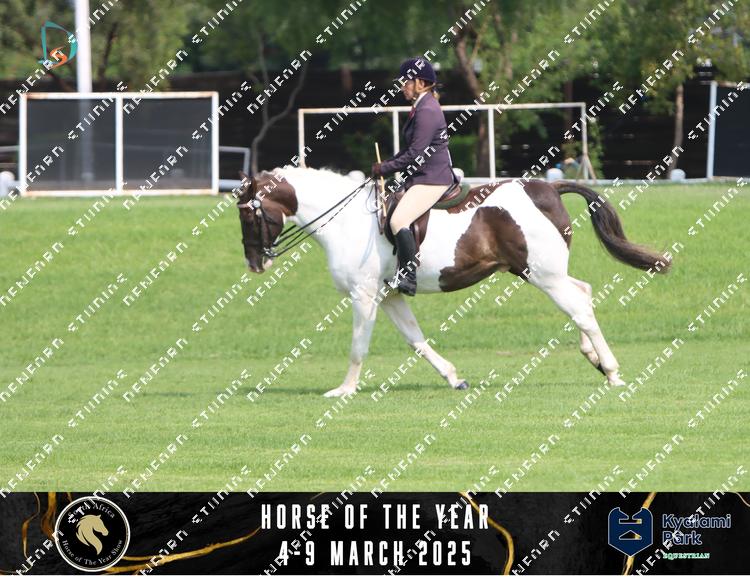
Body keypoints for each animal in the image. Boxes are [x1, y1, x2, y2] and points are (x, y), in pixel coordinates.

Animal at [237, 166, 670, 398]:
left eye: (248, 214)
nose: (255, 264)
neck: (346, 222)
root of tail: (546, 186)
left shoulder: (364, 295)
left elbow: (358, 347)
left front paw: (344, 390)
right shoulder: (390, 296)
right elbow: (416, 340)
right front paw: (453, 377)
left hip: (543, 275)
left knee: (578, 306)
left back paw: (611, 371)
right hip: (540, 273)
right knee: (583, 295)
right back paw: (593, 357)